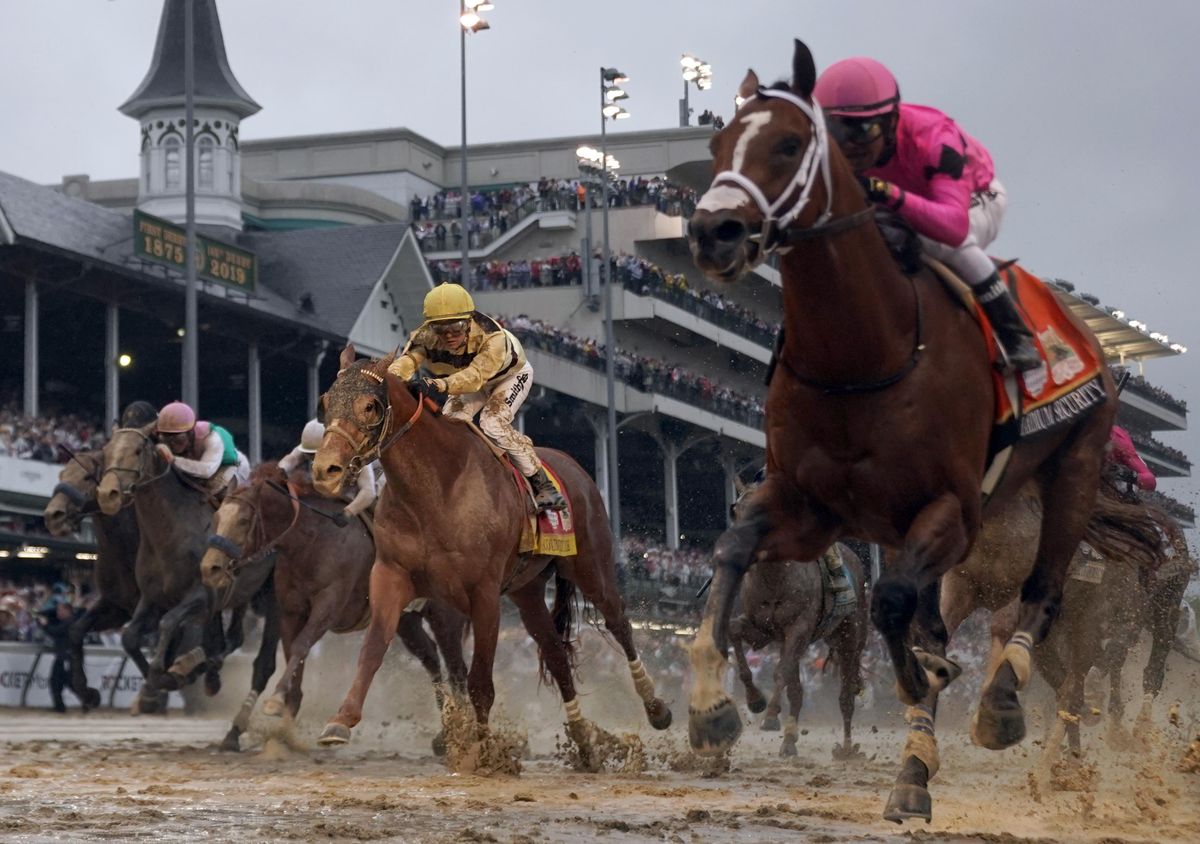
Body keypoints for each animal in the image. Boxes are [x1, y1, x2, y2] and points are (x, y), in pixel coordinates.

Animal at [201, 461, 468, 753]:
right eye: (216, 518)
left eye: (243, 520)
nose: (210, 567)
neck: (312, 541)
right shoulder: (290, 611)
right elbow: (294, 652)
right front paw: (286, 719)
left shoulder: (328, 604)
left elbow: (301, 645)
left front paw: (275, 701)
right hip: (404, 620)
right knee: (430, 657)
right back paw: (444, 734)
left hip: (444, 616)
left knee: (456, 666)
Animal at [307, 343, 676, 758]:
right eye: (325, 402)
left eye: (370, 405)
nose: (325, 470)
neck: (437, 488)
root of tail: (575, 469)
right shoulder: (392, 574)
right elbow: (374, 648)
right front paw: (340, 720)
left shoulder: (482, 594)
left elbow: (479, 679)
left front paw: (483, 752)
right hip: (527, 590)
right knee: (555, 653)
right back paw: (583, 741)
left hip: (591, 566)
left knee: (619, 623)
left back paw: (656, 707)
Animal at [724, 545, 868, 763]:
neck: (775, 576)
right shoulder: (763, 631)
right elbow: (733, 629)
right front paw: (755, 699)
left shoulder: (799, 628)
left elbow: (781, 672)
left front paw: (770, 716)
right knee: (796, 692)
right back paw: (789, 742)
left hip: (849, 636)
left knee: (846, 696)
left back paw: (846, 749)